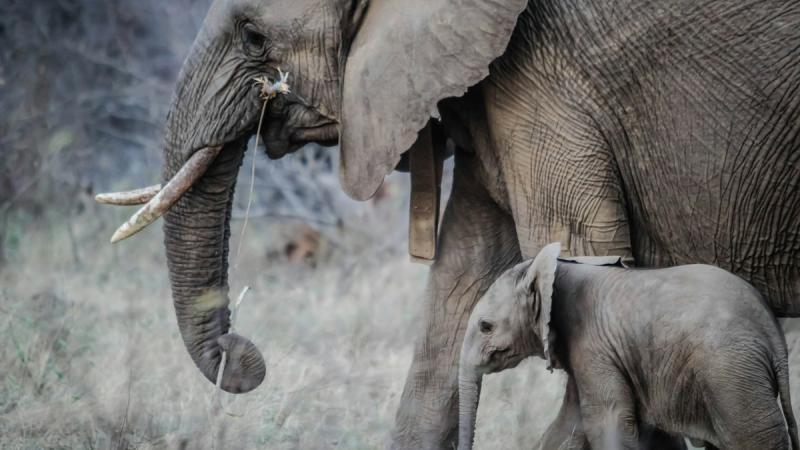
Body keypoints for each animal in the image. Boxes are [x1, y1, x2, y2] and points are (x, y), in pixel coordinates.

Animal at [460, 244, 796, 448]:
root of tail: (773, 334)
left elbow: (607, 421)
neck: (554, 269)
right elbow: (569, 425)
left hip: (731, 374)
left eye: (485, 326)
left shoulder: (593, 344)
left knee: (753, 437)